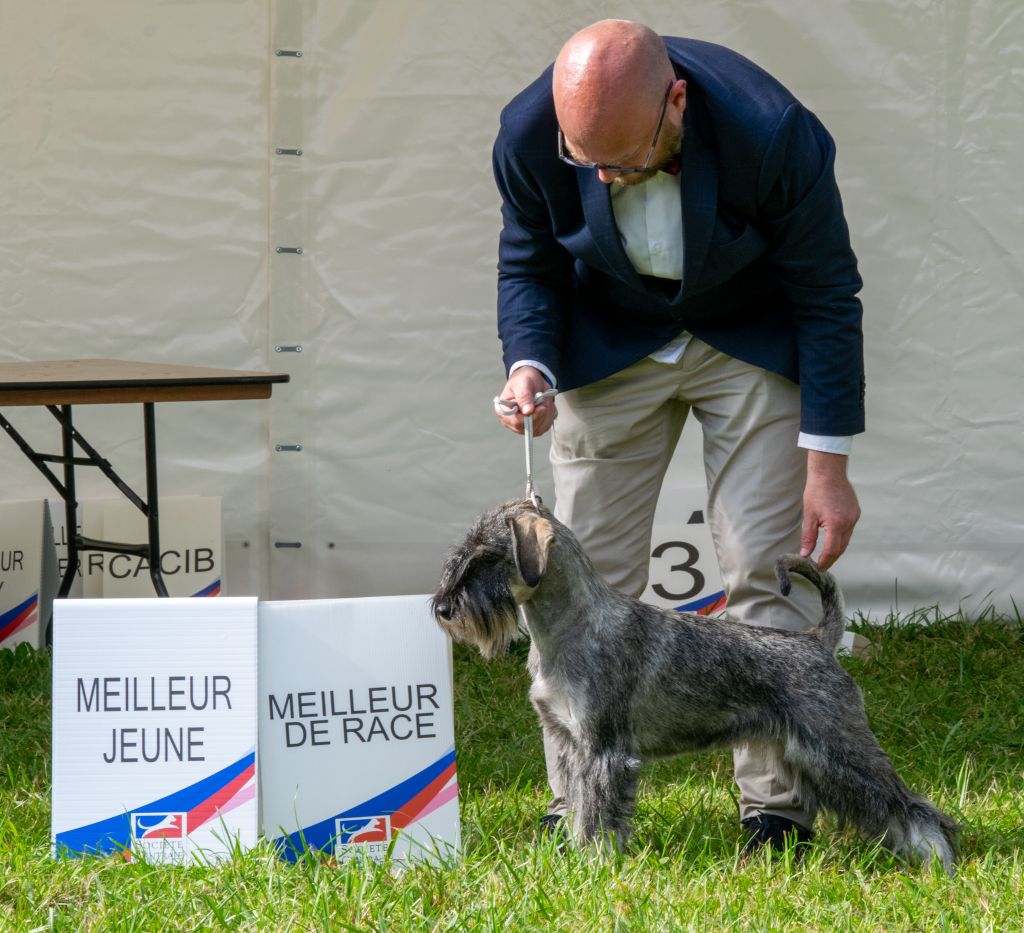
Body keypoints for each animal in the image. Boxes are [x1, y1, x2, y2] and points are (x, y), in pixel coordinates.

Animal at [432, 499, 958, 872]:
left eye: (487, 557)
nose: (441, 608)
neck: (569, 625)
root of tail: (818, 640)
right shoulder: (567, 742)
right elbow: (576, 805)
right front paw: (569, 854)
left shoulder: (603, 751)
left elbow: (599, 815)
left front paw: (592, 864)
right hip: (808, 753)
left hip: (839, 749)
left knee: (909, 805)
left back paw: (937, 857)